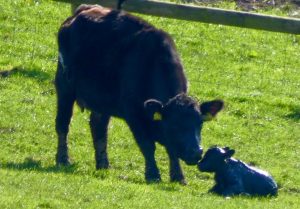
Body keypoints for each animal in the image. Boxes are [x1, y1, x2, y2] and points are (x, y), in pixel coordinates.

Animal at [55, 4, 224, 185]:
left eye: (200, 123)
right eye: (175, 124)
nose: (196, 151)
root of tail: (84, 9)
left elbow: (171, 150)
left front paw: (179, 177)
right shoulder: (134, 114)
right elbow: (147, 145)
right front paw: (153, 175)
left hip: (102, 101)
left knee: (98, 127)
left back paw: (103, 165)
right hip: (64, 87)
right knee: (63, 124)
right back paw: (63, 160)